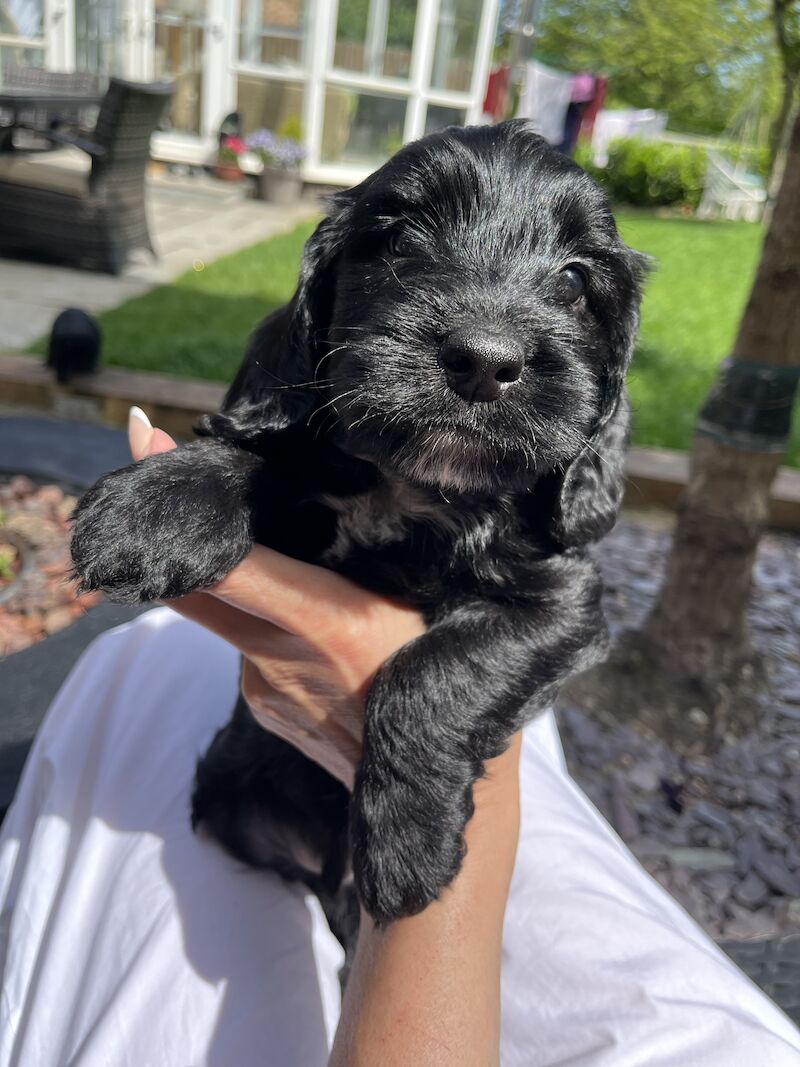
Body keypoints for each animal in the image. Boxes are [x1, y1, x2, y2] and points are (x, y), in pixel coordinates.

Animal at [72, 118, 648, 934]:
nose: (484, 360)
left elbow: (434, 670)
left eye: (574, 282)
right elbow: (266, 455)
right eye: (400, 238)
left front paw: (408, 844)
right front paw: (155, 508)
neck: (413, 486)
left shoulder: (562, 601)